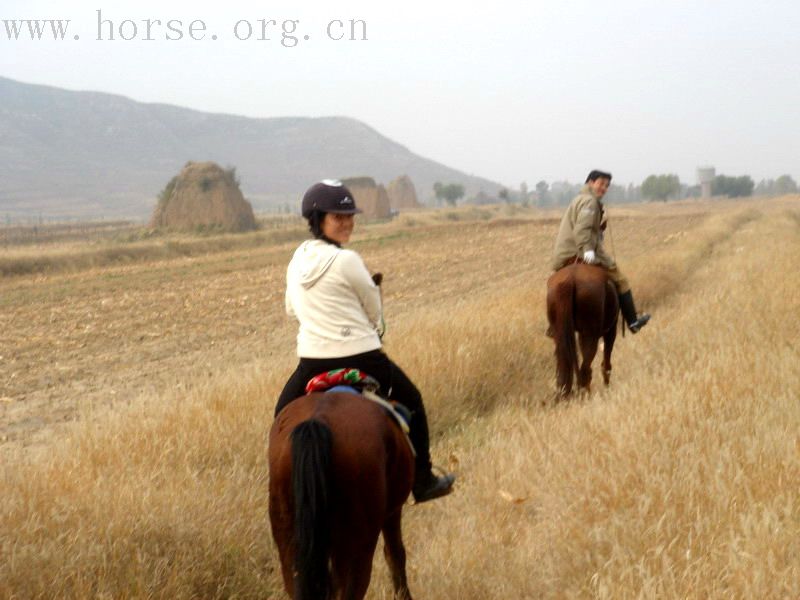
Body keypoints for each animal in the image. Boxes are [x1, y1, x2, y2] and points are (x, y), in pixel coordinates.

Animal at [544, 262, 620, 394]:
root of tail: (569, 279)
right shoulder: (611, 331)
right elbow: (606, 363)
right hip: (590, 336)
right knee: (585, 370)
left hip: (560, 337)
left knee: (564, 369)